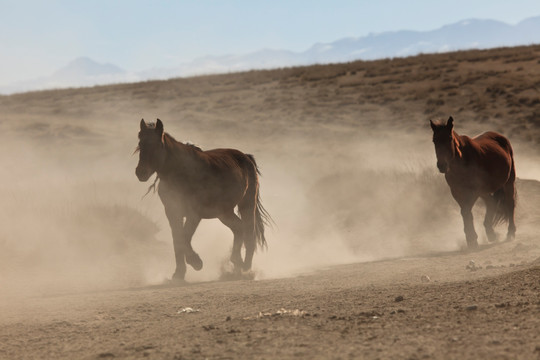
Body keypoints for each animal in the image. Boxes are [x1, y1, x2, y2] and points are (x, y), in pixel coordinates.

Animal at [135, 119, 270, 282]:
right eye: (140, 144)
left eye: (157, 145)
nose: (141, 172)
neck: (181, 173)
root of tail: (246, 157)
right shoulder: (173, 213)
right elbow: (177, 239)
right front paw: (179, 274)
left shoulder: (194, 214)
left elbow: (184, 237)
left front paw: (195, 262)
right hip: (224, 213)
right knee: (239, 228)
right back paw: (236, 264)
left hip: (247, 204)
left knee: (249, 233)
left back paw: (245, 269)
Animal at [430, 116, 516, 249]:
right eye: (434, 140)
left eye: (449, 138)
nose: (442, 166)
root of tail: (500, 136)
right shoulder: (456, 192)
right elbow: (465, 212)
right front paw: (471, 239)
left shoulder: (473, 191)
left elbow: (466, 211)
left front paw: (472, 239)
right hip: (484, 191)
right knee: (491, 203)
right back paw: (491, 233)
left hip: (508, 182)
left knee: (510, 204)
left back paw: (510, 233)